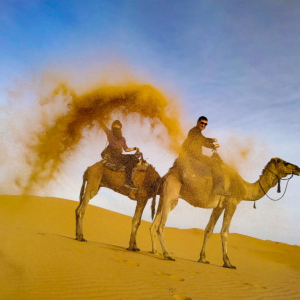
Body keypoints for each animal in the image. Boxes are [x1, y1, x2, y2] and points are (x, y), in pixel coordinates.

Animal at [150, 157, 300, 270]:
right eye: (285, 162)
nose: (298, 168)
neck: (244, 188)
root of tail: (166, 176)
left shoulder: (219, 207)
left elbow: (209, 230)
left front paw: (203, 258)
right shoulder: (232, 204)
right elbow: (225, 232)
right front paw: (228, 263)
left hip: (164, 197)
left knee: (154, 224)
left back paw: (154, 251)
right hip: (171, 195)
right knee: (160, 226)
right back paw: (167, 255)